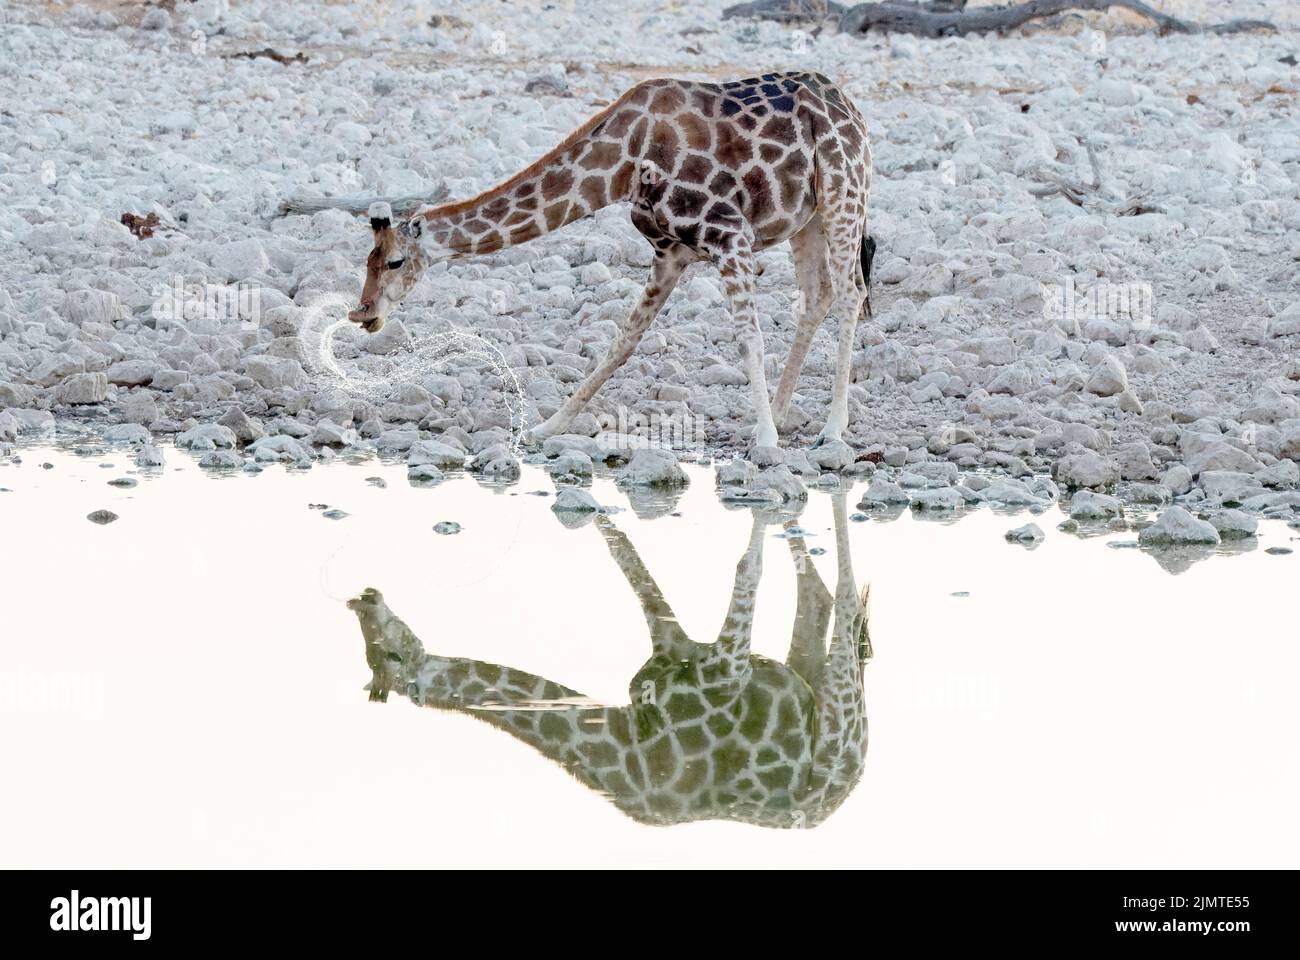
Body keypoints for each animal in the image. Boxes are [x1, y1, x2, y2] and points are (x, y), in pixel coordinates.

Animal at [348, 69, 873, 450]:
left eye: (394, 262)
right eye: (366, 263)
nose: (363, 313)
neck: (623, 165)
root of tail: (851, 108)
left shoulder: (729, 235)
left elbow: (749, 340)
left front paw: (764, 441)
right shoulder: (670, 253)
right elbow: (621, 343)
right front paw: (548, 427)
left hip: (843, 195)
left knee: (851, 292)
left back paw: (831, 428)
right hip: (806, 220)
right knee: (818, 294)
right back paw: (783, 414)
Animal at [351, 489, 868, 827]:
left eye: (390, 653)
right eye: (370, 650)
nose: (367, 596)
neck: (632, 748)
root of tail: (850, 780)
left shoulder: (728, 665)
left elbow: (746, 569)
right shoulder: (673, 642)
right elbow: (624, 557)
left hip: (837, 724)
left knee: (844, 601)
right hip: (810, 677)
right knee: (818, 597)